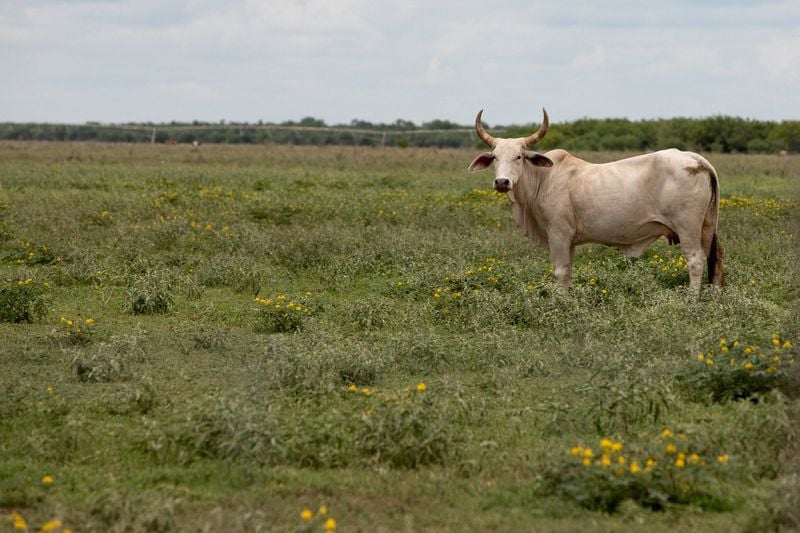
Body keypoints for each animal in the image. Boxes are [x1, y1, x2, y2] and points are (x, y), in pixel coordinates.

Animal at [468, 108, 724, 293]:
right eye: (495, 157)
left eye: (519, 156)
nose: (502, 182)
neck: (544, 178)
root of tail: (696, 158)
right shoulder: (569, 241)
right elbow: (568, 272)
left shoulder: (558, 234)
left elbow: (560, 271)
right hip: (707, 226)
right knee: (716, 259)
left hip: (688, 228)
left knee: (696, 260)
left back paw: (691, 299)